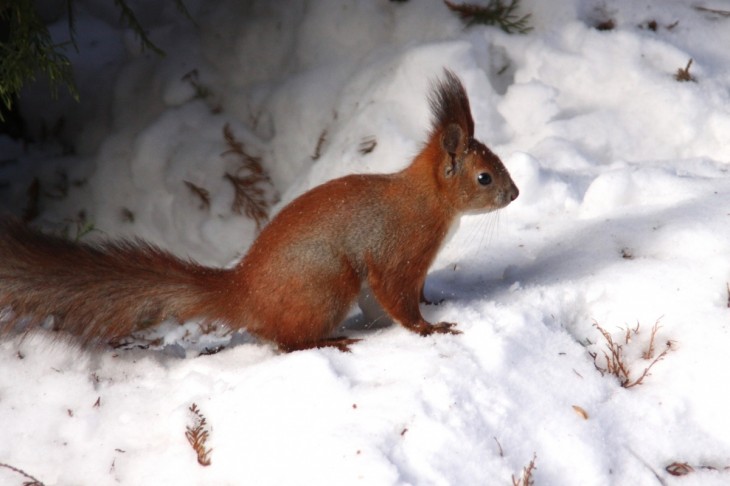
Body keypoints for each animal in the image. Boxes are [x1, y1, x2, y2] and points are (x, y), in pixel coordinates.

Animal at [0, 70, 516, 352]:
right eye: (484, 178)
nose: (513, 195)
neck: (429, 201)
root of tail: (242, 292)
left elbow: (396, 301)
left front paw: (436, 303)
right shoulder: (400, 252)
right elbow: (399, 300)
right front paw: (431, 328)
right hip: (327, 283)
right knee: (288, 341)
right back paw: (331, 340)